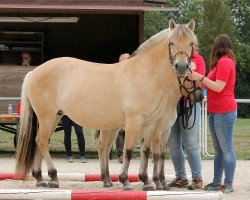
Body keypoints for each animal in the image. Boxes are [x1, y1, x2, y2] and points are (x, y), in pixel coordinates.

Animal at [16, 19, 197, 191]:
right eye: (171, 42)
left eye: (191, 43)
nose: (181, 66)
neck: (146, 73)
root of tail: (34, 72)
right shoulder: (134, 122)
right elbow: (129, 151)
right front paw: (125, 181)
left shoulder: (150, 124)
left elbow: (145, 151)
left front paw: (146, 181)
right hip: (47, 117)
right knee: (42, 141)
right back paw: (53, 176)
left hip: (54, 117)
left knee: (40, 141)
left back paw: (40, 178)